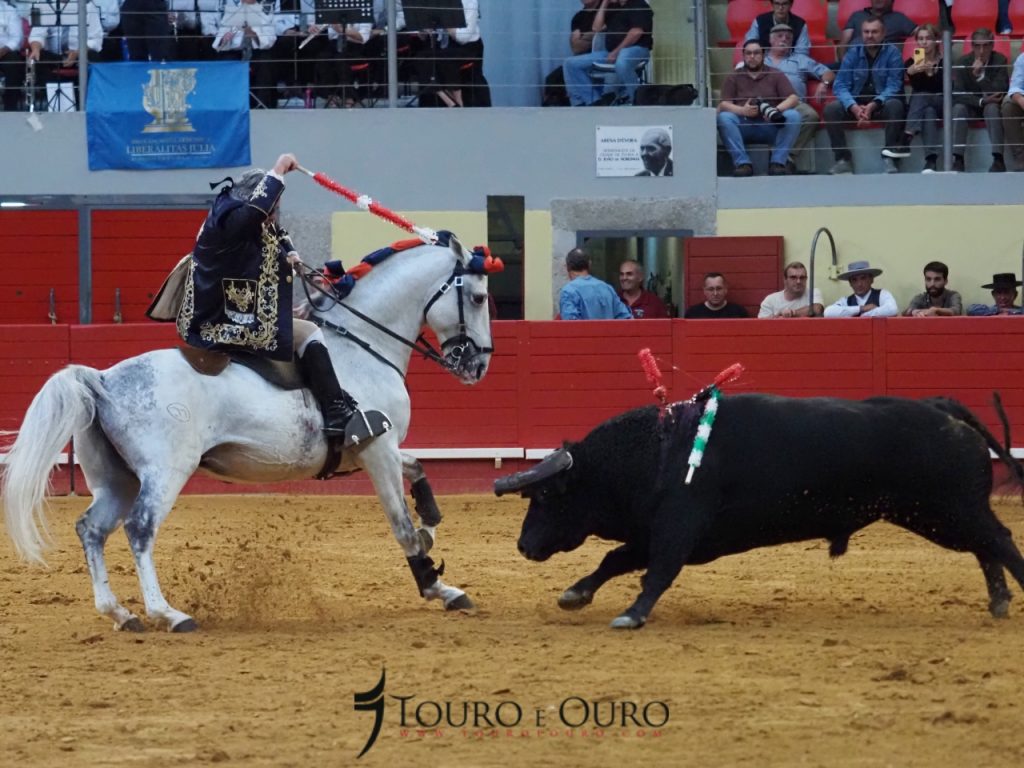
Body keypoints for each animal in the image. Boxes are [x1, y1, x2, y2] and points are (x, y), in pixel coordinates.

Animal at [1, 234, 496, 632]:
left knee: (92, 529)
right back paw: (169, 614)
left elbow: (420, 474)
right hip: (165, 474)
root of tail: (102, 378)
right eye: (477, 297)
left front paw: (433, 535)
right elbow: (402, 527)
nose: (478, 365)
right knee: (139, 529)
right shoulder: (377, 449)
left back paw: (121, 614)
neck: (362, 345)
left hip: (115, 479)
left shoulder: (383, 450)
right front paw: (439, 586)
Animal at [494, 393, 1024, 629]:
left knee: (998, 540)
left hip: (946, 509)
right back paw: (998, 601)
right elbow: (615, 560)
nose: (522, 545)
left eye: (547, 496)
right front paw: (575, 594)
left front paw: (632, 614)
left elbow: (656, 571)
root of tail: (942, 407)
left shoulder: (677, 530)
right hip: (936, 515)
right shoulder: (656, 531)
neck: (656, 452)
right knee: (985, 546)